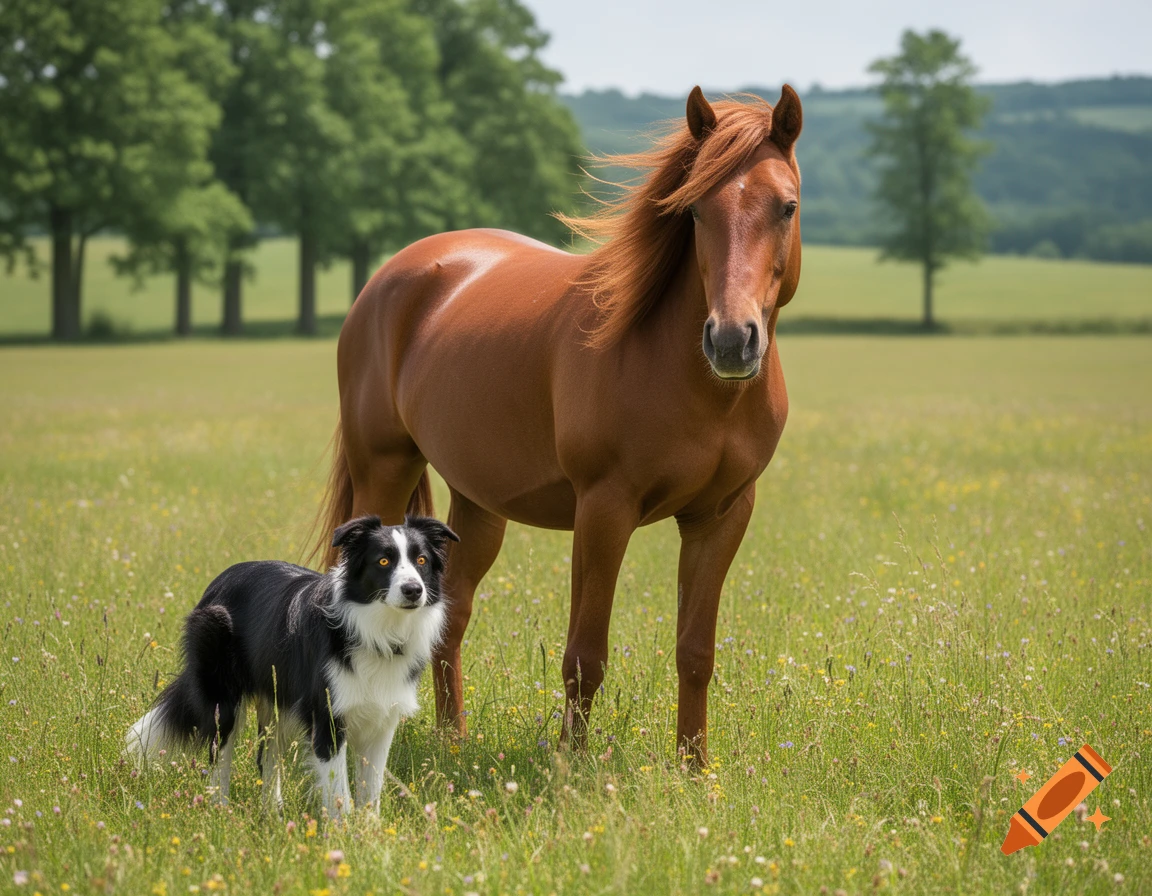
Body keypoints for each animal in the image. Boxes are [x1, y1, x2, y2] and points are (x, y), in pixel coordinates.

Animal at [314, 85, 803, 765]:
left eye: (786, 206)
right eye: (695, 213)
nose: (732, 341)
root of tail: (391, 277)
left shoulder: (721, 516)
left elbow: (695, 653)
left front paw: (695, 771)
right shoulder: (603, 509)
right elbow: (584, 656)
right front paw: (572, 768)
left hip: (477, 504)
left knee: (451, 616)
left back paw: (452, 741)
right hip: (381, 471)